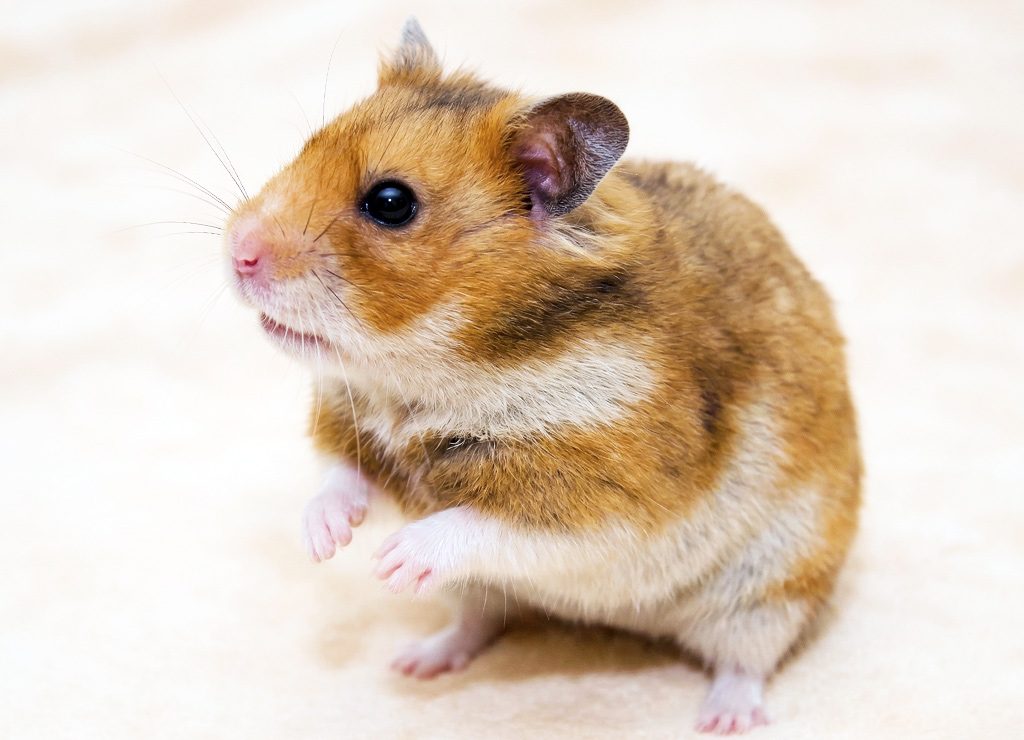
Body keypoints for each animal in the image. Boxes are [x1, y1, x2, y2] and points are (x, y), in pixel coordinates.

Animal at [224, 19, 860, 735]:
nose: (235, 252)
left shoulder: (602, 503)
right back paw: (419, 661)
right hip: (487, 591)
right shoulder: (354, 425)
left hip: (770, 591)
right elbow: (340, 479)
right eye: (308, 145)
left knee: (745, 660)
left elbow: (479, 525)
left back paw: (724, 717)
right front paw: (322, 544)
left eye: (390, 203)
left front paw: (392, 562)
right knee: (481, 621)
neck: (432, 371)